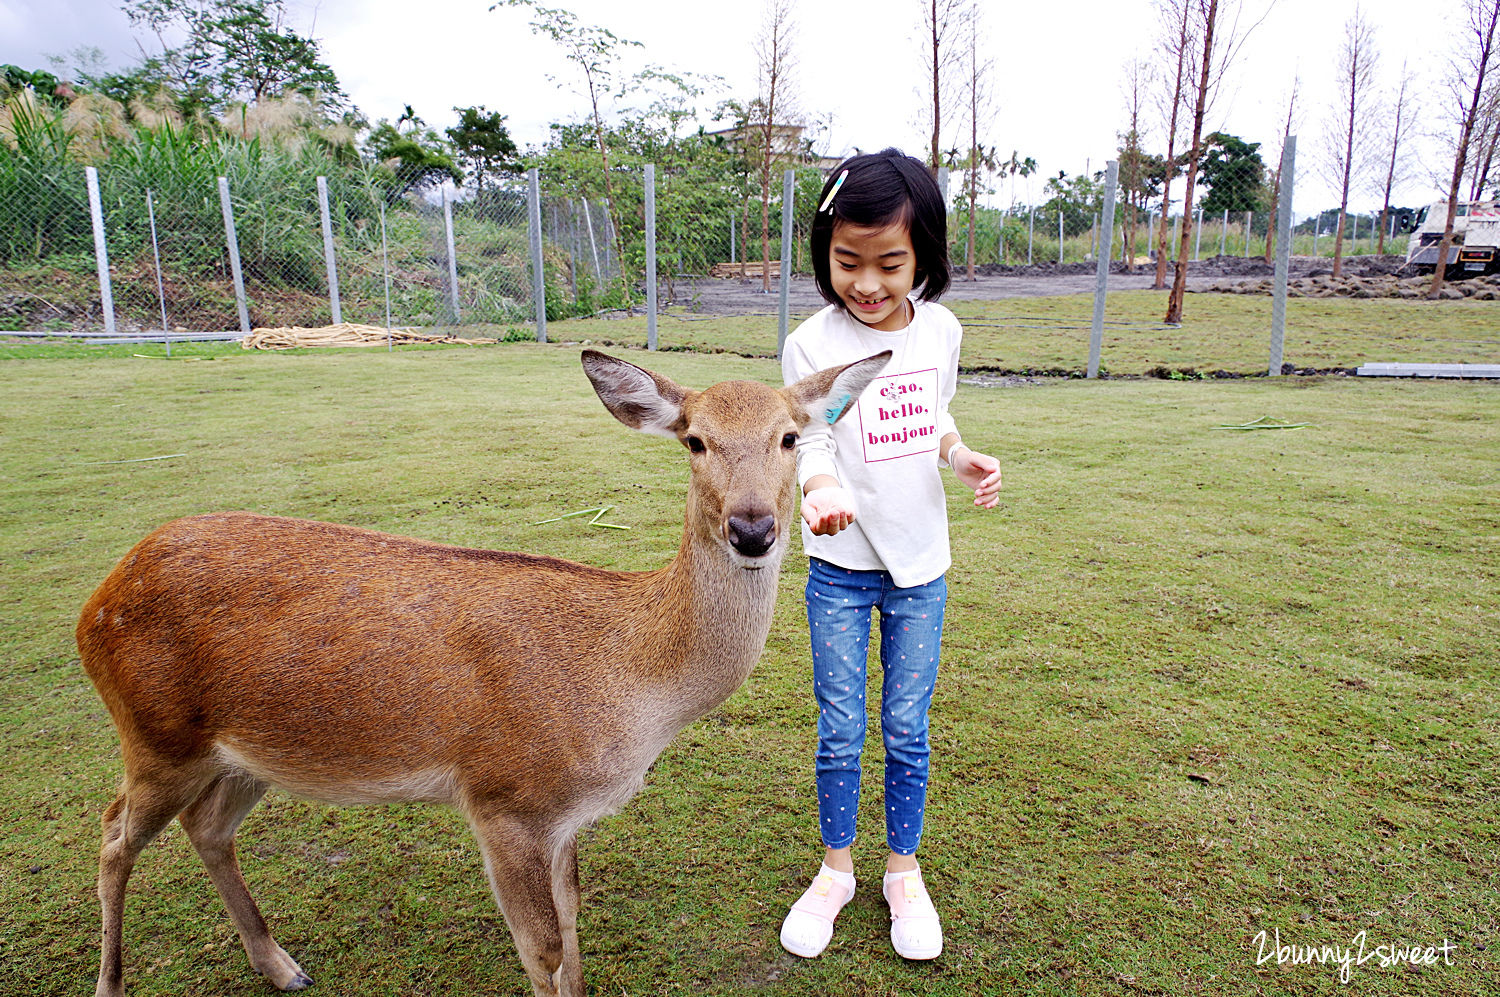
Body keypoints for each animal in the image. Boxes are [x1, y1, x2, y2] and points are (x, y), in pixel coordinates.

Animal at [76, 347, 888, 995]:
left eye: (790, 436)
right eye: (694, 439)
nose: (752, 529)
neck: (627, 689)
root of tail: (96, 601)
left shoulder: (562, 819)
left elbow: (574, 936)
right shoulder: (502, 799)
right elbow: (544, 952)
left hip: (246, 752)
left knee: (206, 826)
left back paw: (281, 966)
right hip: (155, 733)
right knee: (114, 834)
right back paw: (113, 982)